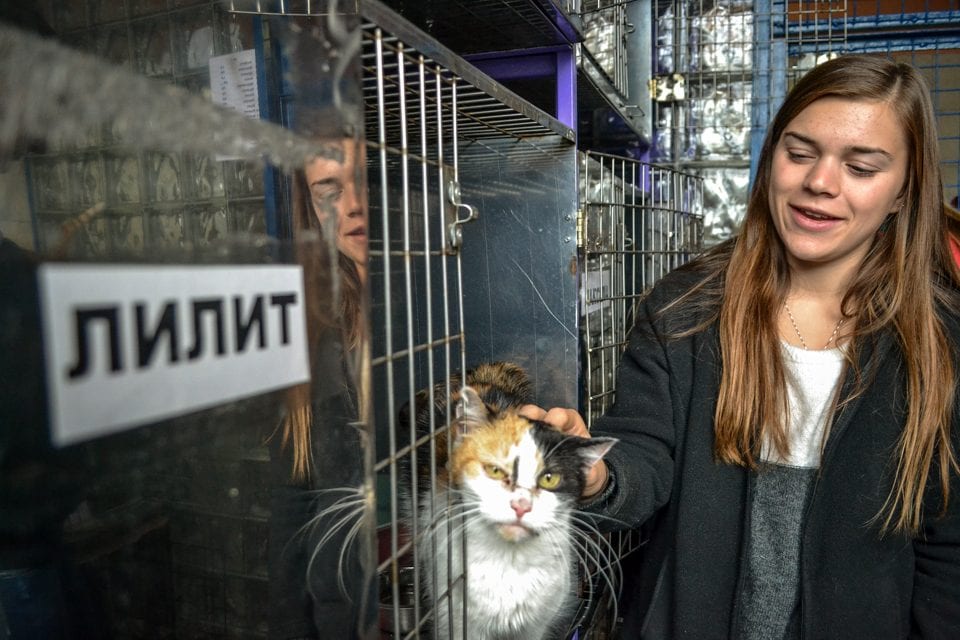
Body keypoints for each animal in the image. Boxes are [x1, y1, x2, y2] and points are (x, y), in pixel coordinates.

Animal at [402, 362, 620, 640]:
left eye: (549, 478)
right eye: (495, 470)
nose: (521, 505)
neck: (510, 560)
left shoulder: (537, 625)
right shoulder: (454, 621)